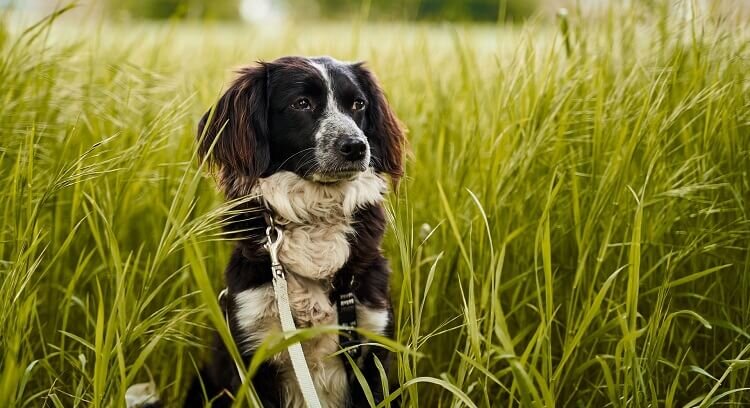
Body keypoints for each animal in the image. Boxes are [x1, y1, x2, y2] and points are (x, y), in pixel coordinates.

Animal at [186, 55, 408, 406]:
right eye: (301, 103)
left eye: (358, 104)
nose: (357, 147)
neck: (315, 217)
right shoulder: (254, 352)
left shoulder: (371, 345)